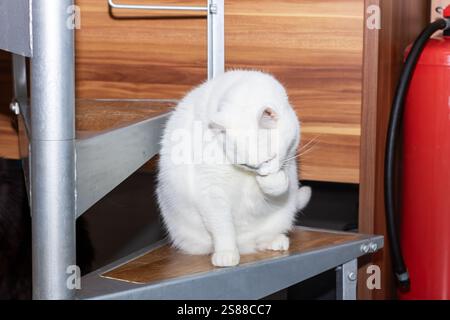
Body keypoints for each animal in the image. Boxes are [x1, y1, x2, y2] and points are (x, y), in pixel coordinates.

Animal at [156, 70, 312, 268]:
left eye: (269, 159)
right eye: (245, 165)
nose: (260, 173)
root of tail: (245, 245)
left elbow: (276, 186)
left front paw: (272, 182)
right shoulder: (211, 189)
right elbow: (222, 227)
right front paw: (226, 253)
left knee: (262, 238)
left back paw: (275, 240)